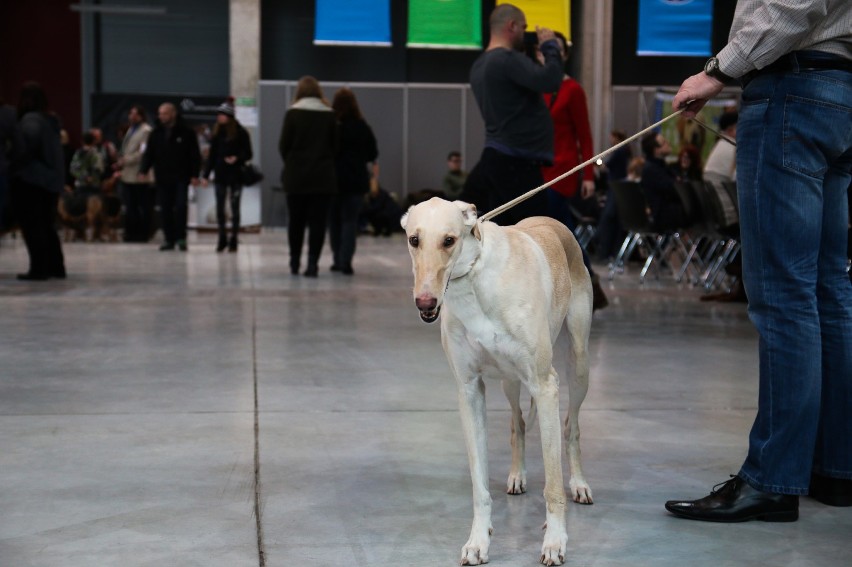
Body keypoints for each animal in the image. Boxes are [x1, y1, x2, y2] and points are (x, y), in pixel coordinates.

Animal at [402, 199, 592, 564]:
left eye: (449, 240)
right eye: (414, 240)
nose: (425, 303)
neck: (475, 279)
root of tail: (550, 220)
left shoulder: (545, 386)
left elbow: (552, 483)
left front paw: (555, 541)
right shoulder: (469, 391)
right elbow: (479, 484)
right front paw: (478, 541)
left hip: (578, 364)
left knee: (572, 426)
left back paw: (578, 483)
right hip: (510, 380)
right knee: (518, 423)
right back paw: (518, 475)